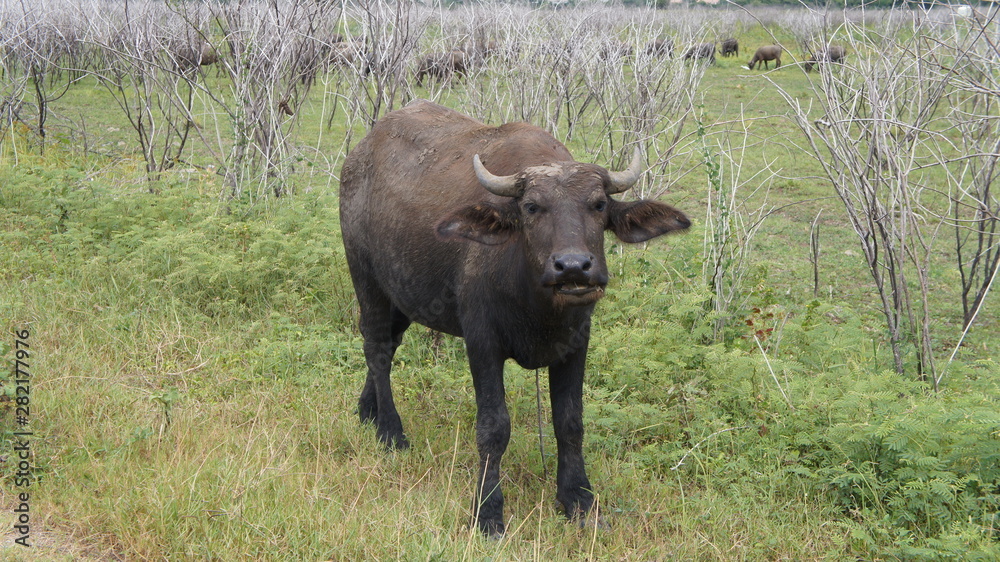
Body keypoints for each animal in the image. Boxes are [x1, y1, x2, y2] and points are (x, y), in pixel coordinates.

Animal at [340, 99, 692, 532]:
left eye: (598, 204)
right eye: (531, 207)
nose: (573, 267)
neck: (535, 303)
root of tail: (359, 157)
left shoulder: (576, 343)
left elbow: (570, 422)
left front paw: (579, 500)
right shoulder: (482, 343)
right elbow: (494, 427)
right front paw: (488, 511)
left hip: (403, 294)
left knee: (388, 347)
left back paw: (367, 412)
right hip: (367, 279)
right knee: (375, 346)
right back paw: (390, 431)